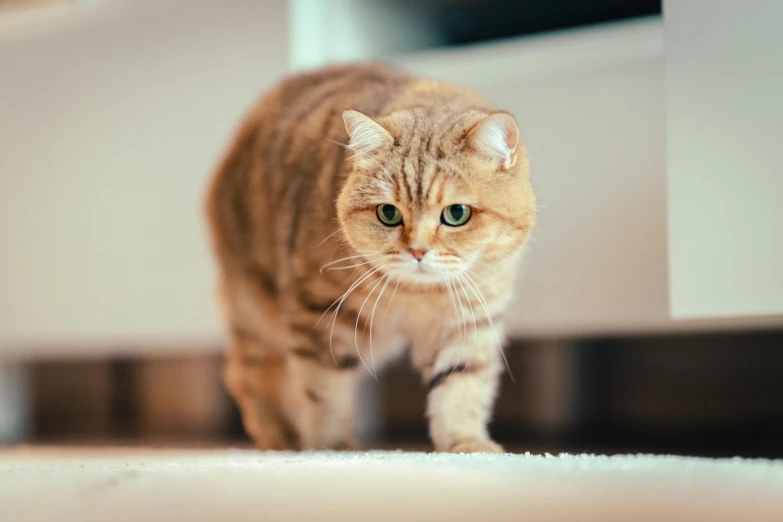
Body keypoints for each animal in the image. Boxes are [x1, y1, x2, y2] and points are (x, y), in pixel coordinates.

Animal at [207, 62, 540, 450]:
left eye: (457, 213)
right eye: (388, 213)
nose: (417, 251)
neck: (418, 295)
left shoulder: (470, 319)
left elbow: (461, 387)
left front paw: (465, 443)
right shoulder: (320, 316)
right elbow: (325, 391)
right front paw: (332, 449)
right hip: (257, 311)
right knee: (245, 372)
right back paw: (280, 435)